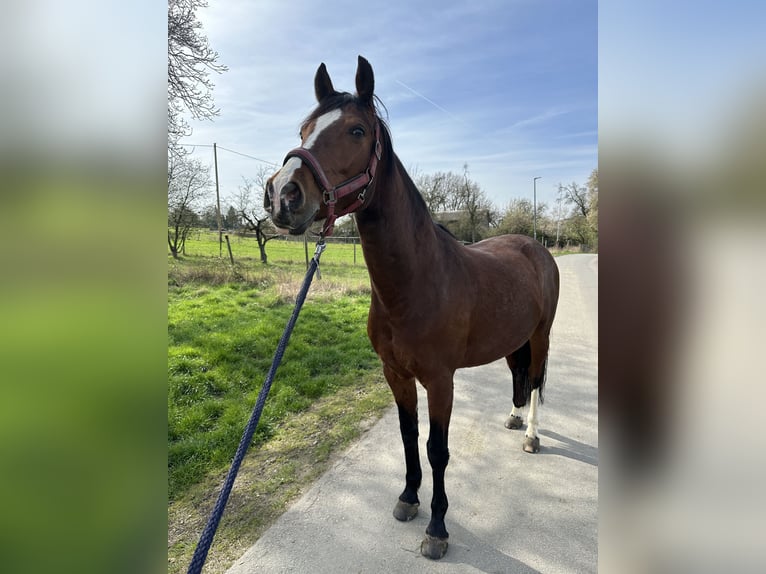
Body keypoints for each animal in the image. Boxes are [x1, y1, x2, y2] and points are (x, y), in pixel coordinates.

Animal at [264, 56, 560, 560]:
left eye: (357, 130)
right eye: (303, 129)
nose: (283, 194)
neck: (416, 284)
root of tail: (534, 247)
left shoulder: (441, 381)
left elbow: (437, 449)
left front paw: (437, 529)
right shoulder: (396, 375)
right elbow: (408, 437)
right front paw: (407, 498)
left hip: (540, 335)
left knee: (537, 380)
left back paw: (532, 436)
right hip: (512, 340)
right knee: (520, 377)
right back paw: (515, 417)